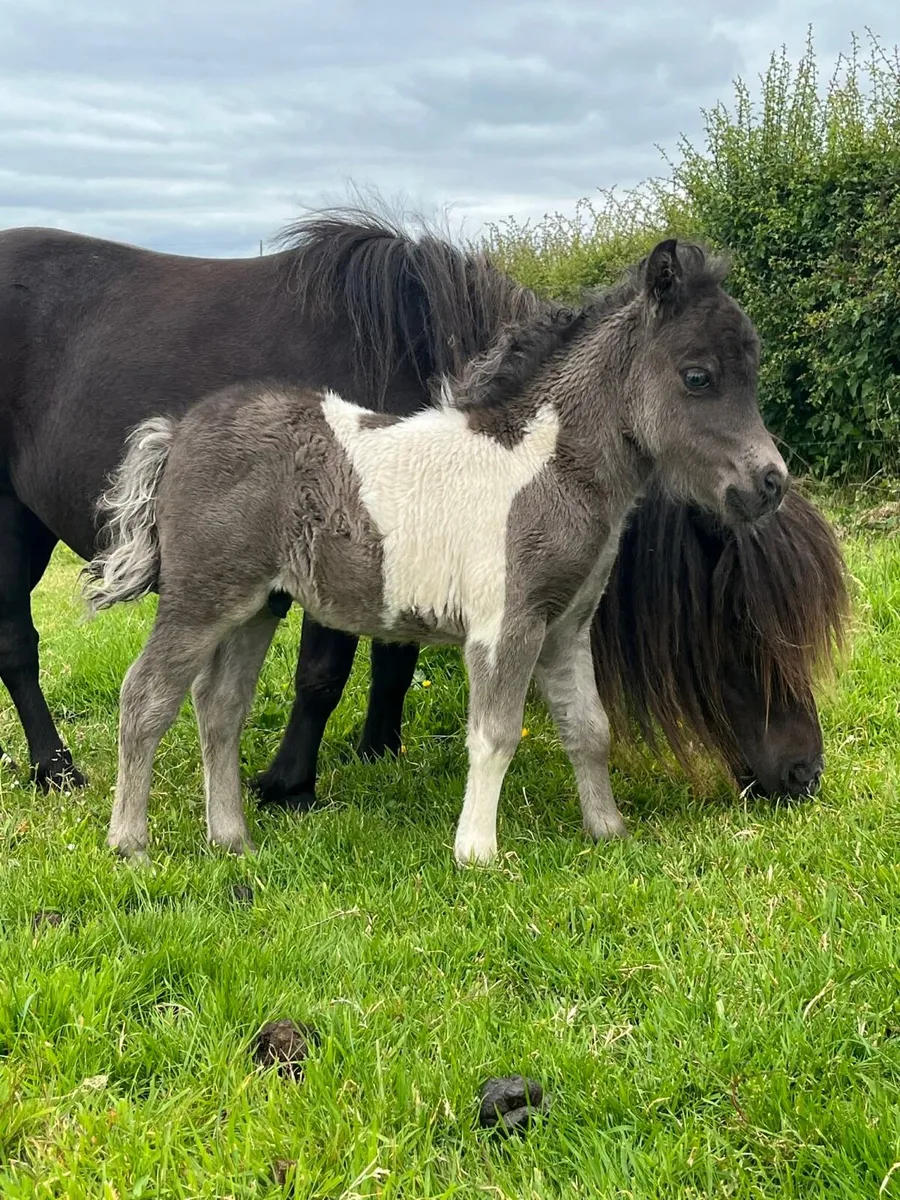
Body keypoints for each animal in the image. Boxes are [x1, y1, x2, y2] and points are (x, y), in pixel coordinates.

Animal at [0, 211, 845, 805]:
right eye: (741, 621)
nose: (805, 773)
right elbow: (324, 671)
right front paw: (288, 784)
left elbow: (393, 660)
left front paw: (377, 747)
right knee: (18, 647)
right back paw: (55, 769)